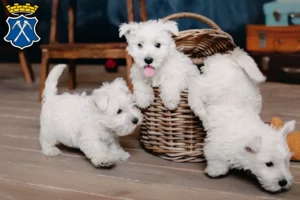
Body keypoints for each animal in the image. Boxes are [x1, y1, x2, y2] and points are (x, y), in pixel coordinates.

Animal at [189, 47, 296, 193]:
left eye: (286, 161)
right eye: (269, 164)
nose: (283, 182)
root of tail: (231, 57)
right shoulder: (215, 146)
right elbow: (216, 160)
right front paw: (215, 171)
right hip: (206, 86)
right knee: (195, 89)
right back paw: (199, 108)